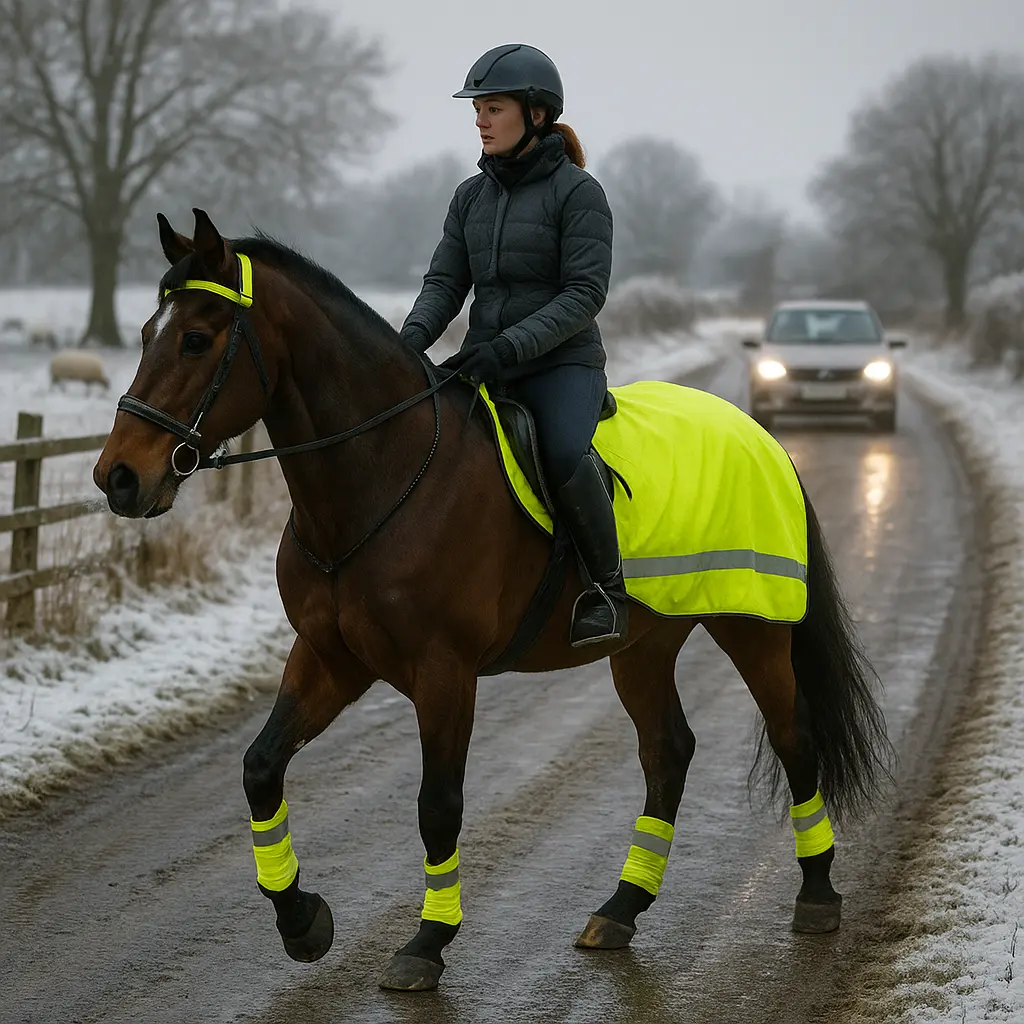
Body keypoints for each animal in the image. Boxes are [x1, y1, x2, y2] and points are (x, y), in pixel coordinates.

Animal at [93, 209, 893, 993]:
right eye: (147, 333)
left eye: (197, 339)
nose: (118, 477)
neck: (380, 478)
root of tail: (758, 435)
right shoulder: (331, 657)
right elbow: (261, 767)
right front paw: (302, 921)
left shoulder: (444, 671)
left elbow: (438, 806)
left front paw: (426, 943)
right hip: (642, 644)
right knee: (667, 752)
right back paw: (620, 909)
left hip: (751, 627)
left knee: (794, 737)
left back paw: (816, 896)